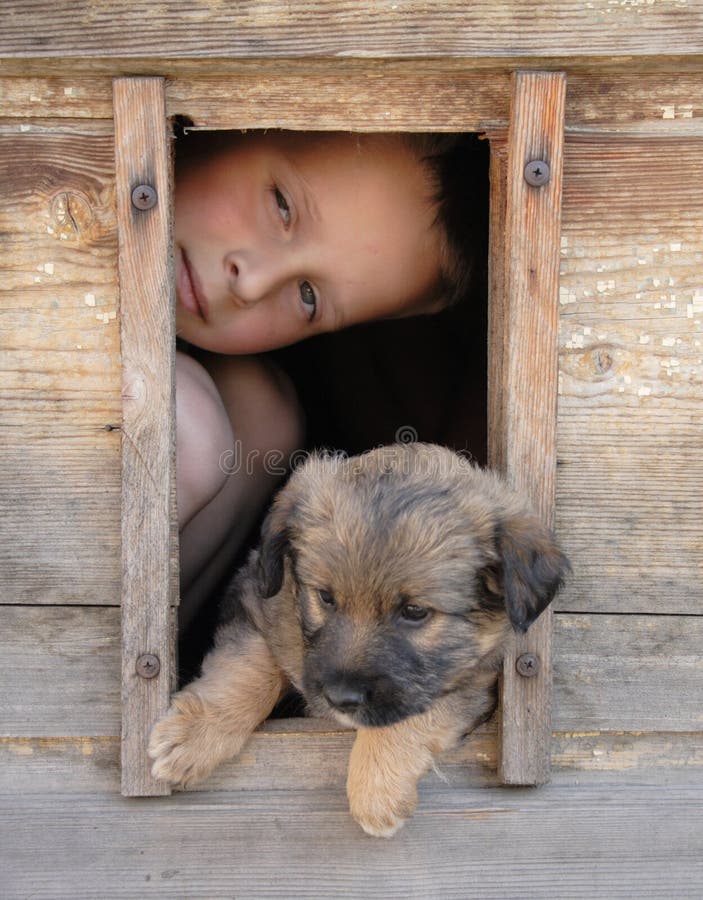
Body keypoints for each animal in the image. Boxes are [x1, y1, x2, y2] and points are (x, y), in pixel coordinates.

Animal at [150, 442, 572, 836]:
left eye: (414, 611)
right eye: (325, 597)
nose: (340, 698)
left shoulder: (473, 680)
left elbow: (404, 712)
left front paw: (376, 789)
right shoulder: (257, 602)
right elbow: (250, 666)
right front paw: (194, 735)